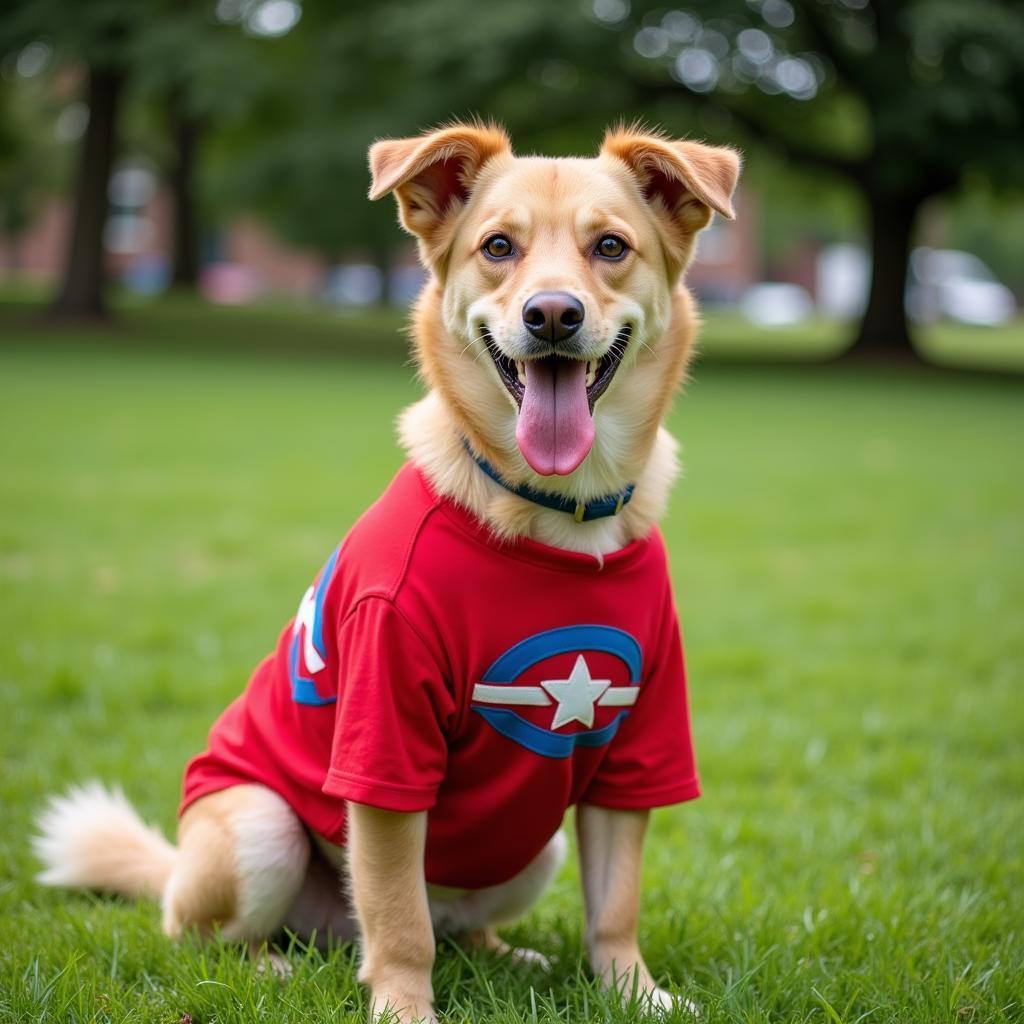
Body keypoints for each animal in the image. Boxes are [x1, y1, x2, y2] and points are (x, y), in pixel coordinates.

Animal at [36, 121, 741, 1024]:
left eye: (611, 247)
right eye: (498, 247)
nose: (552, 314)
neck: (553, 512)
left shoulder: (637, 742)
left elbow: (615, 904)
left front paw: (633, 993)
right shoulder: (385, 741)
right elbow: (400, 922)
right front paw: (405, 1008)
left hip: (536, 846)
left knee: (458, 926)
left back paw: (508, 953)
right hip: (258, 828)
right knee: (214, 935)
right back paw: (270, 967)